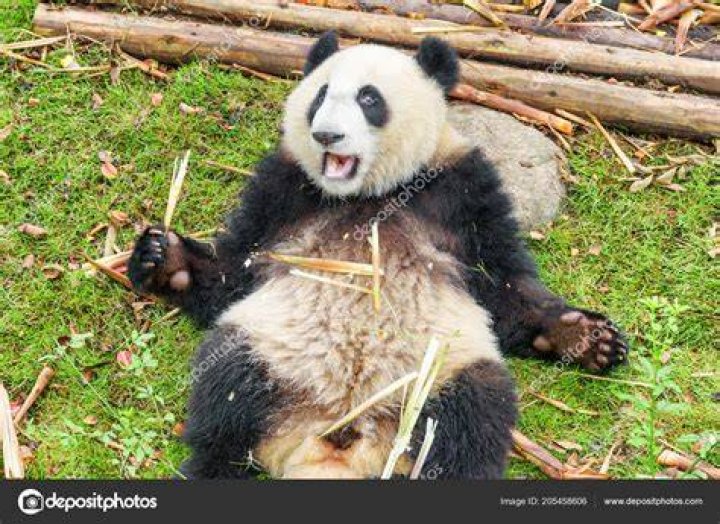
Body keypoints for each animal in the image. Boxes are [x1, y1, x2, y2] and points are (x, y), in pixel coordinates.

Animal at [128, 32, 627, 480]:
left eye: (369, 98)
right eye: (320, 95)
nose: (327, 134)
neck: (368, 196)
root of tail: (339, 441)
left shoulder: (461, 189)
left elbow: (505, 286)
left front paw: (588, 338)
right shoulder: (283, 189)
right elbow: (234, 270)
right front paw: (162, 256)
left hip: (441, 376)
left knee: (473, 422)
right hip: (268, 350)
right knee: (226, 396)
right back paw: (210, 467)